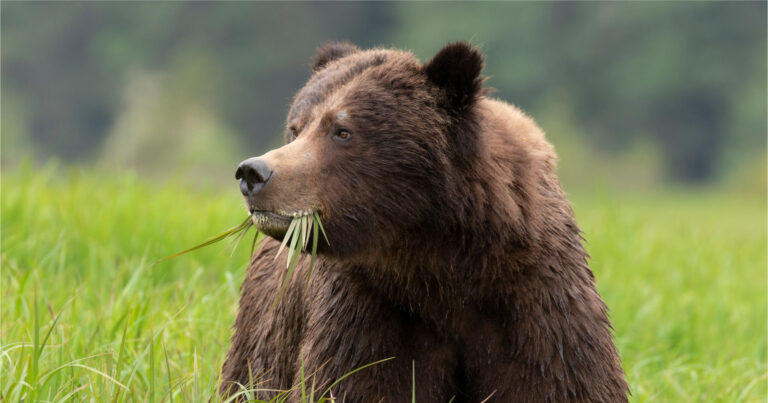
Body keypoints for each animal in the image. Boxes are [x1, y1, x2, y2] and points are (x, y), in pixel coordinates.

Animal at [221, 41, 629, 402]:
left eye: (342, 130)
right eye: (295, 127)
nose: (254, 172)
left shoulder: (533, 302)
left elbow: (559, 382)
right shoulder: (372, 309)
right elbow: (357, 383)